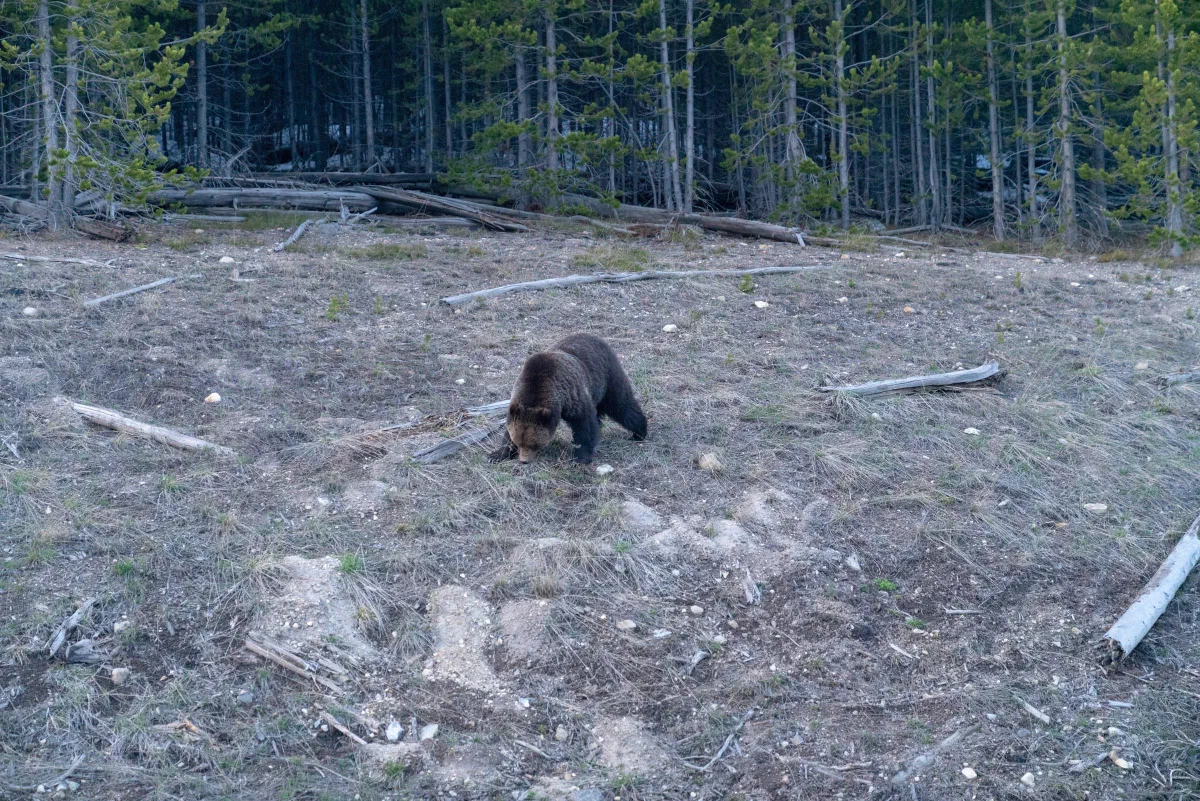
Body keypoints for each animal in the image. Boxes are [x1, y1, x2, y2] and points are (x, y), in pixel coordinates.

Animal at [490, 333, 647, 465]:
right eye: (518, 442)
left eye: (534, 444)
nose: (524, 461)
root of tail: (596, 337)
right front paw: (498, 454)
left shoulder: (572, 396)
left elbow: (584, 425)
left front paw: (581, 457)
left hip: (607, 377)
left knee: (621, 405)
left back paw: (639, 432)